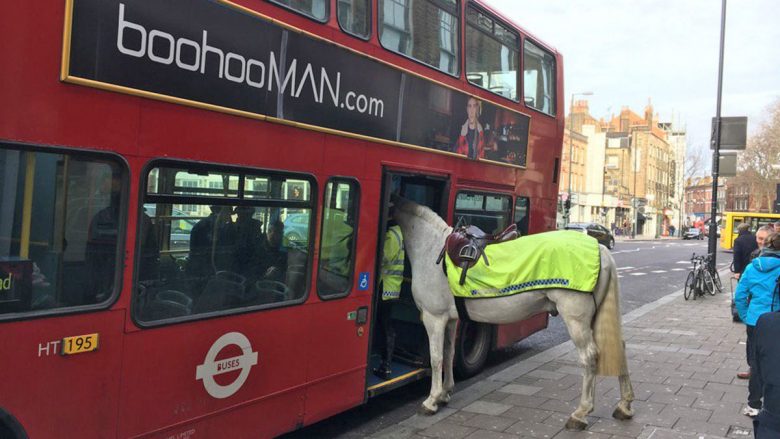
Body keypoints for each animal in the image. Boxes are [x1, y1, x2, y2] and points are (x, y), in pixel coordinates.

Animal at [390, 198, 632, 432]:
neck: (431, 248)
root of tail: (600, 249)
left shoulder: (434, 318)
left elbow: (436, 358)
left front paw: (431, 401)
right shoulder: (450, 319)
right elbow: (449, 354)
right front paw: (445, 393)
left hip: (576, 319)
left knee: (589, 357)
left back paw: (580, 414)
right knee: (619, 347)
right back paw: (624, 405)